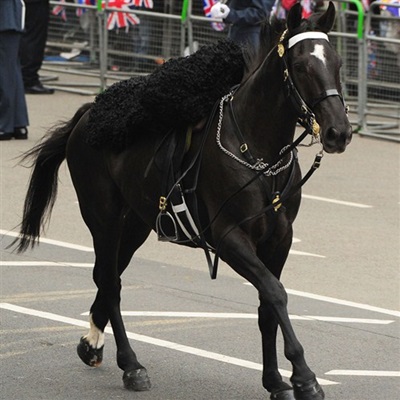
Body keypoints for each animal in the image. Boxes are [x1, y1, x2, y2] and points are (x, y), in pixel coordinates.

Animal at [14, 3, 352, 400]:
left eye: (338, 63)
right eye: (300, 65)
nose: (339, 132)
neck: (257, 152)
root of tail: (88, 115)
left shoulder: (279, 239)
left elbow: (268, 307)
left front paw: (275, 380)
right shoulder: (230, 238)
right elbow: (275, 292)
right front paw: (303, 376)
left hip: (136, 223)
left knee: (108, 276)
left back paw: (92, 343)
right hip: (104, 217)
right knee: (110, 282)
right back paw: (131, 364)